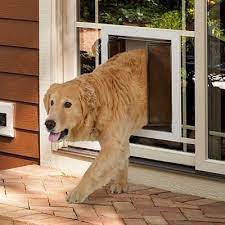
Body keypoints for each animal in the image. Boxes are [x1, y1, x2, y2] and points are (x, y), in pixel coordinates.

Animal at [43, 48, 148, 203]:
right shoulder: (120, 140)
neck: (102, 99)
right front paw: (121, 184)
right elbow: (123, 158)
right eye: (52, 102)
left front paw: (77, 193)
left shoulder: (112, 146)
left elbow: (92, 170)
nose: (48, 123)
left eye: (67, 104)